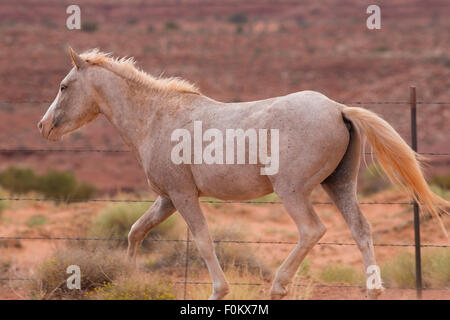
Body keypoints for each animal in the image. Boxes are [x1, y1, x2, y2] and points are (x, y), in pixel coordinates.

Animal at [37, 47, 446, 300]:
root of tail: (339, 109)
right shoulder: (167, 198)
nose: (43, 127)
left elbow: (203, 241)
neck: (155, 117)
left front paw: (219, 290)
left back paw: (279, 286)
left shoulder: (183, 196)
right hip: (339, 184)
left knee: (312, 230)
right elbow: (136, 232)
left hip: (292, 190)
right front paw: (130, 278)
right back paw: (372, 290)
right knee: (361, 229)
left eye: (63, 86)